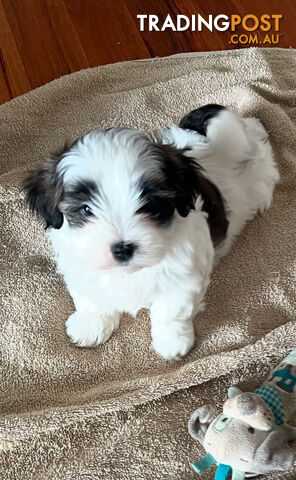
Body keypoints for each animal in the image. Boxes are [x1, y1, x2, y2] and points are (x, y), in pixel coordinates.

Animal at [23, 106, 280, 360]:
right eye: (86, 210)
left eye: (150, 205)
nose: (122, 249)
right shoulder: (81, 266)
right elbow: (91, 297)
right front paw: (91, 325)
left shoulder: (184, 274)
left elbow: (172, 310)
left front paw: (173, 341)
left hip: (255, 169)